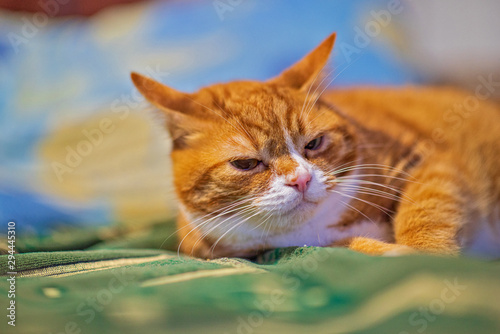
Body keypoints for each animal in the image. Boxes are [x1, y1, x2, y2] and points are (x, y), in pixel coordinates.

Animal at [130, 33, 500, 258]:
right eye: (246, 164)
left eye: (314, 143)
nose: (301, 180)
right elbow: (360, 248)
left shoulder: (424, 159)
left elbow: (427, 210)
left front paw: (425, 255)